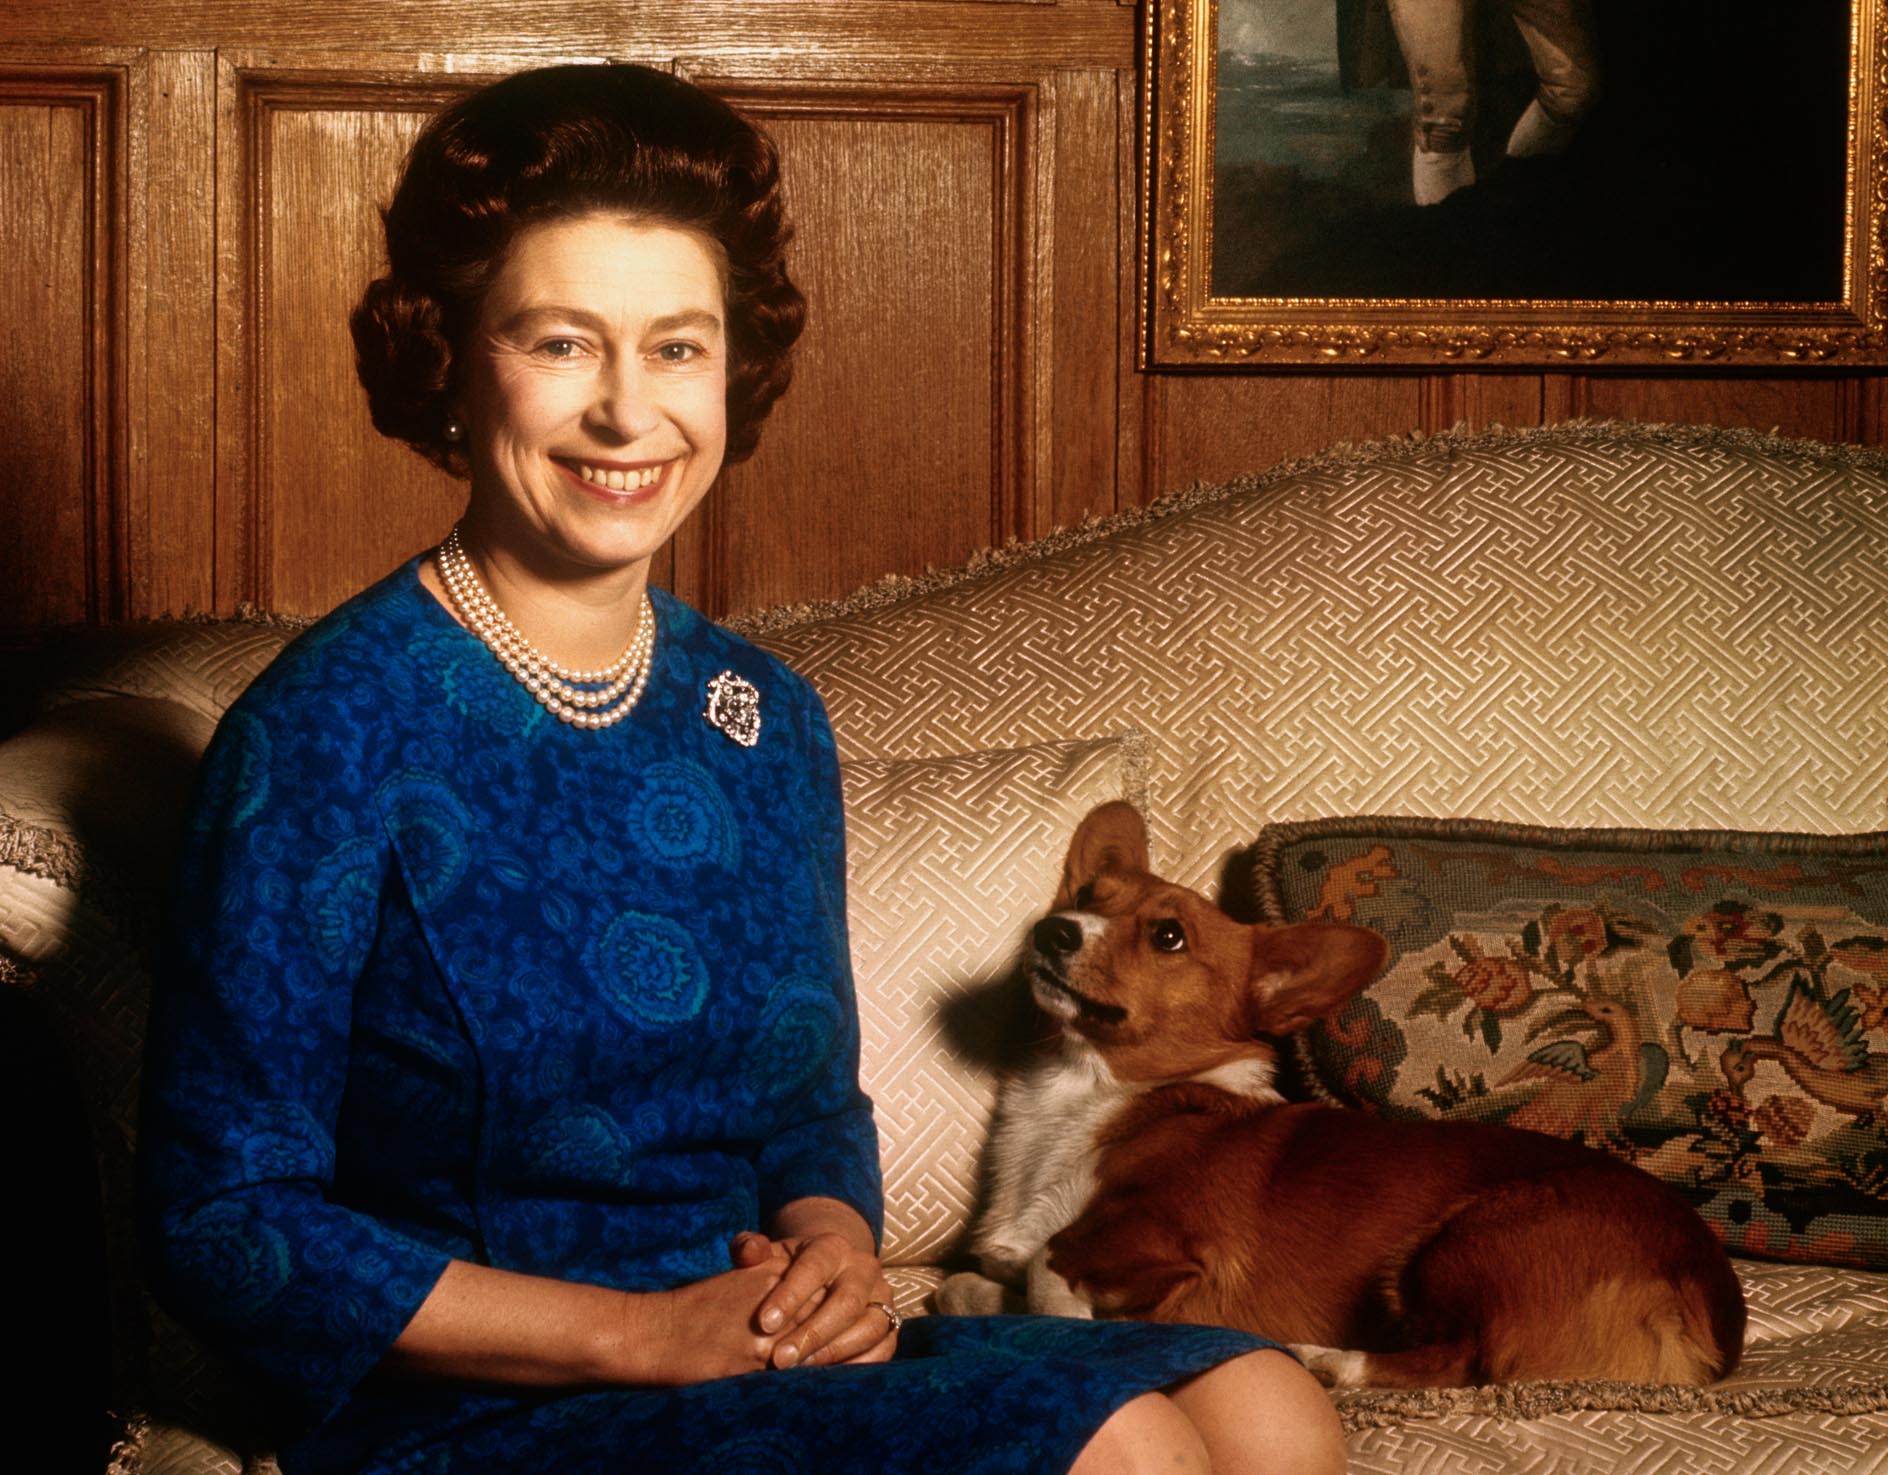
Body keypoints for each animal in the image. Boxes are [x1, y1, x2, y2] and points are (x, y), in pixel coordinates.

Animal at [936, 800, 1744, 1390]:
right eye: (1085, 896)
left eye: (1168, 936)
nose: (1053, 929)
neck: (1088, 1092)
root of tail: (1712, 1310)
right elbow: (973, 1282)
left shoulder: (1171, 1242)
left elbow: (1049, 1266)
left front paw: (1086, 1319)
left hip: (1461, 1238)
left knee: (1462, 1359)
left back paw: (1326, 1359)